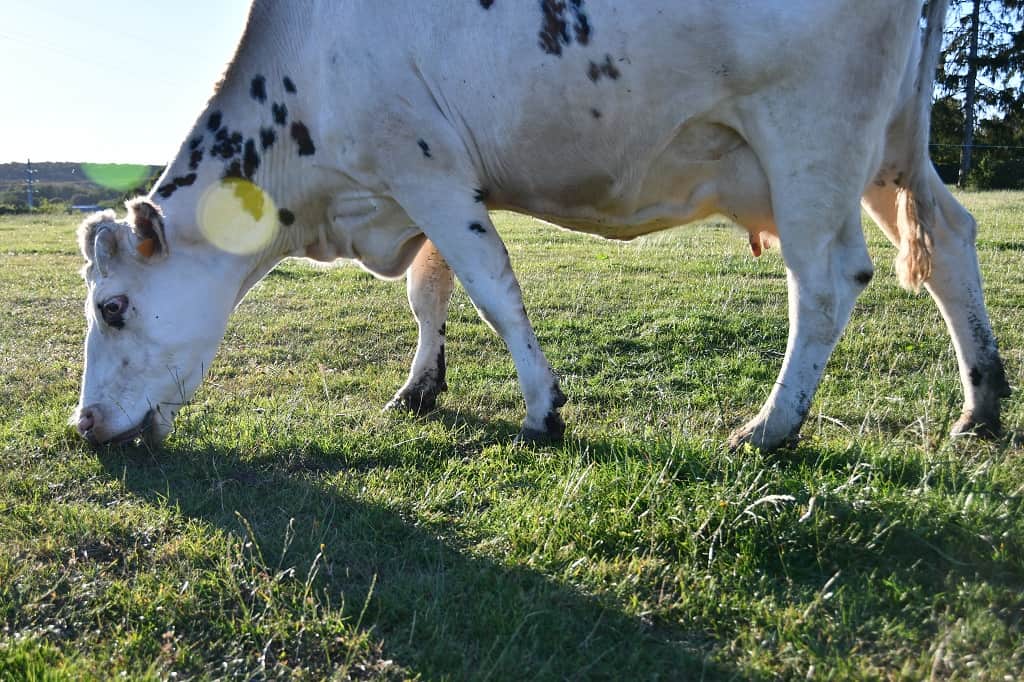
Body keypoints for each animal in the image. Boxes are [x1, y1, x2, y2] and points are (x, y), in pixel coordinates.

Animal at [72, 1, 1007, 450]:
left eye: (112, 307)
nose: (81, 426)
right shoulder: (423, 183)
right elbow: (431, 290)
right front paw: (420, 388)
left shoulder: (423, 166)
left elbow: (492, 288)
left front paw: (543, 409)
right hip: (889, 149)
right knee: (950, 239)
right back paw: (982, 406)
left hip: (811, 136)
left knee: (825, 279)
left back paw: (771, 428)